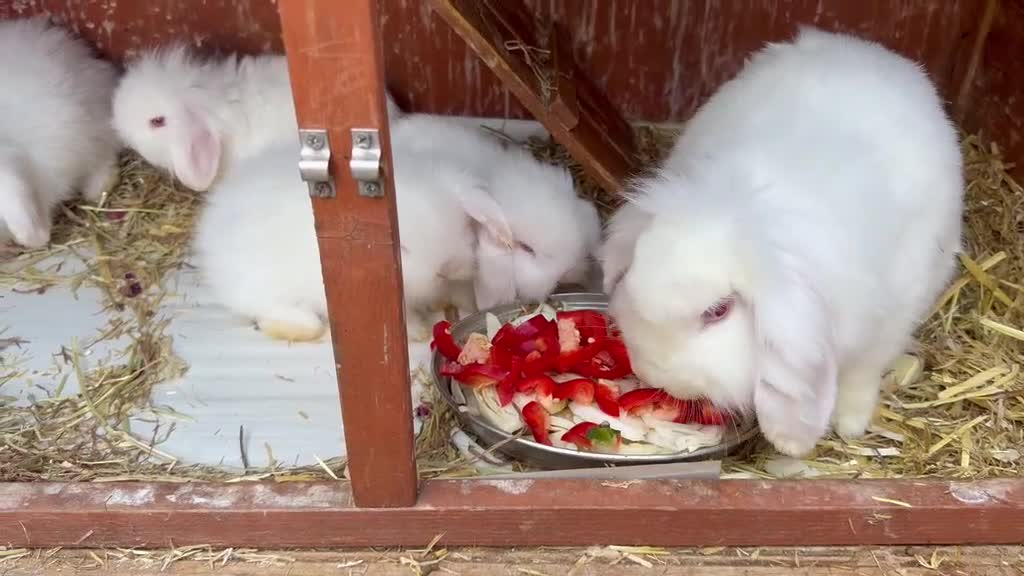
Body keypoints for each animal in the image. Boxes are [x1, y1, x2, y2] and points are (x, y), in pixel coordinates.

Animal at [599, 26, 964, 458]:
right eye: (632, 281)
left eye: (718, 312)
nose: (652, 372)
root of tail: (872, 52)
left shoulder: (888, 319)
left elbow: (863, 373)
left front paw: (850, 425)